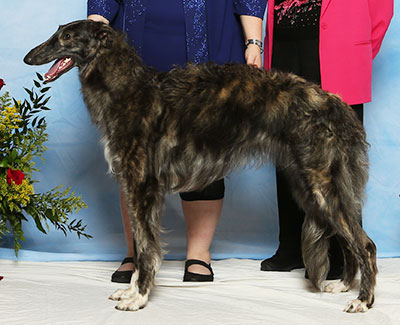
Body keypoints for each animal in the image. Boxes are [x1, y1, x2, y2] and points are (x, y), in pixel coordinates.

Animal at [24, 19, 376, 312]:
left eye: (67, 36)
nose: (28, 57)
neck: (129, 89)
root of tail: (333, 101)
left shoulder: (143, 187)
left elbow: (146, 248)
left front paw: (139, 298)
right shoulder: (134, 186)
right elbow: (140, 245)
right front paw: (131, 291)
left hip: (319, 185)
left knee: (365, 243)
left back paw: (362, 300)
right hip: (310, 185)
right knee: (348, 239)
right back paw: (343, 285)